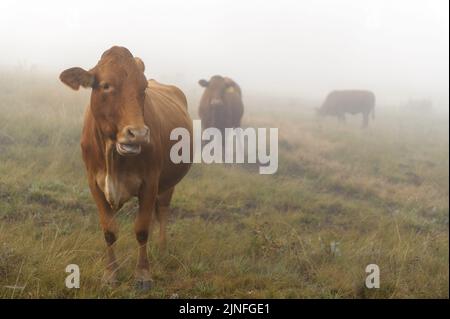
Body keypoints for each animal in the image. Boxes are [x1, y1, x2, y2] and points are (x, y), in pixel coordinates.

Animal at [58, 45, 192, 290]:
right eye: (106, 85)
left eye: (143, 87)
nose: (137, 134)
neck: (113, 156)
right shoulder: (94, 184)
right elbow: (109, 230)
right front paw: (111, 273)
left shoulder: (149, 182)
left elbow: (141, 229)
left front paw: (143, 274)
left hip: (167, 183)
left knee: (162, 211)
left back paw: (162, 248)